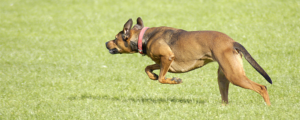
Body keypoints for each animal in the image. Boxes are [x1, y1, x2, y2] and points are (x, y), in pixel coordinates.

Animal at [106, 16, 274, 105]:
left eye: (115, 38)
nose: (106, 43)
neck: (144, 37)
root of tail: (232, 42)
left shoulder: (167, 58)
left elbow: (162, 78)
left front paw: (174, 80)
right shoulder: (162, 62)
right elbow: (148, 68)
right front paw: (152, 75)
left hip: (235, 76)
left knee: (262, 87)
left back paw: (267, 107)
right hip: (224, 76)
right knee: (225, 97)